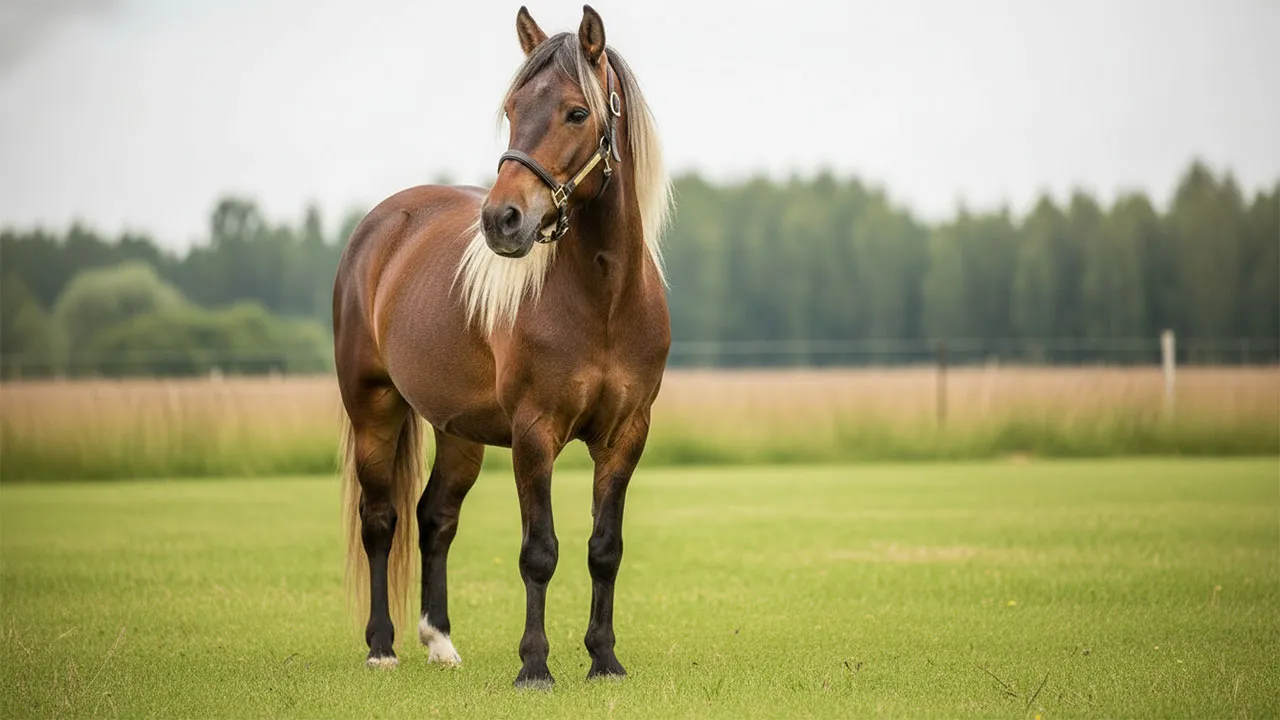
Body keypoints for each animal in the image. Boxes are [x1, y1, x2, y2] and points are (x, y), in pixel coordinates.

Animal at [332, 5, 672, 688]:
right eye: (513, 108)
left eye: (576, 112)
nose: (501, 220)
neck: (605, 299)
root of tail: (381, 225)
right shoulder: (533, 433)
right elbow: (539, 551)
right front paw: (534, 666)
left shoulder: (626, 434)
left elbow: (605, 549)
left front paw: (604, 660)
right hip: (373, 409)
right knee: (380, 520)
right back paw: (381, 646)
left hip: (459, 431)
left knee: (435, 518)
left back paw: (439, 642)